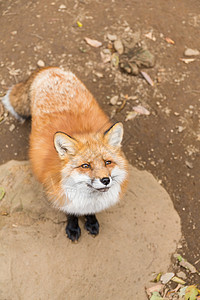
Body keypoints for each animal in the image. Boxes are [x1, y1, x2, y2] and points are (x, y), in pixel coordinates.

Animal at [1, 67, 128, 240]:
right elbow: (71, 213)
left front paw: (91, 222)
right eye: (85, 166)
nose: (105, 180)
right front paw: (73, 228)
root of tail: (49, 69)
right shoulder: (60, 194)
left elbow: (91, 213)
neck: (88, 198)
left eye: (107, 162)